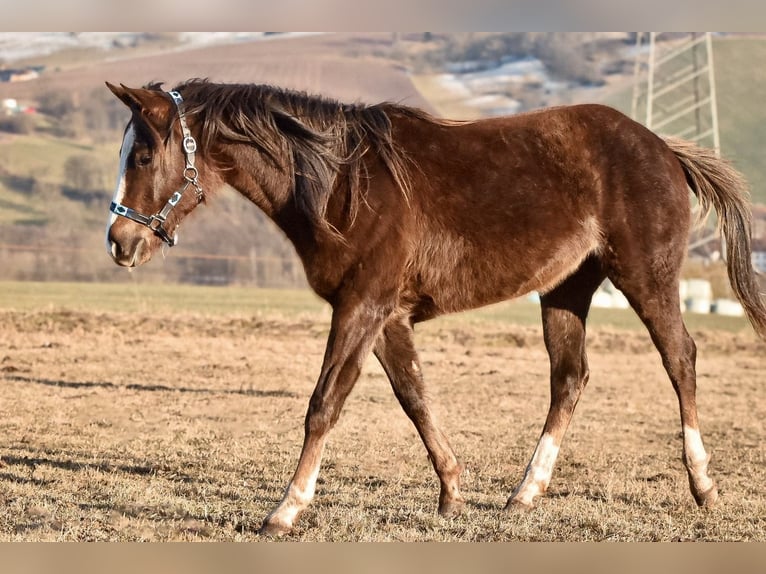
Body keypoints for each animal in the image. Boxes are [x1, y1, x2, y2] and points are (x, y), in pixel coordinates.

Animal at [103, 79, 766, 536]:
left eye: (142, 157)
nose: (119, 242)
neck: (342, 183)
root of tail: (663, 147)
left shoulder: (361, 308)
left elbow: (324, 405)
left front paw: (286, 509)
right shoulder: (386, 317)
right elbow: (415, 398)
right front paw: (451, 492)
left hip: (645, 278)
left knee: (680, 359)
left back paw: (703, 484)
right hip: (567, 289)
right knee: (569, 378)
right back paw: (524, 493)